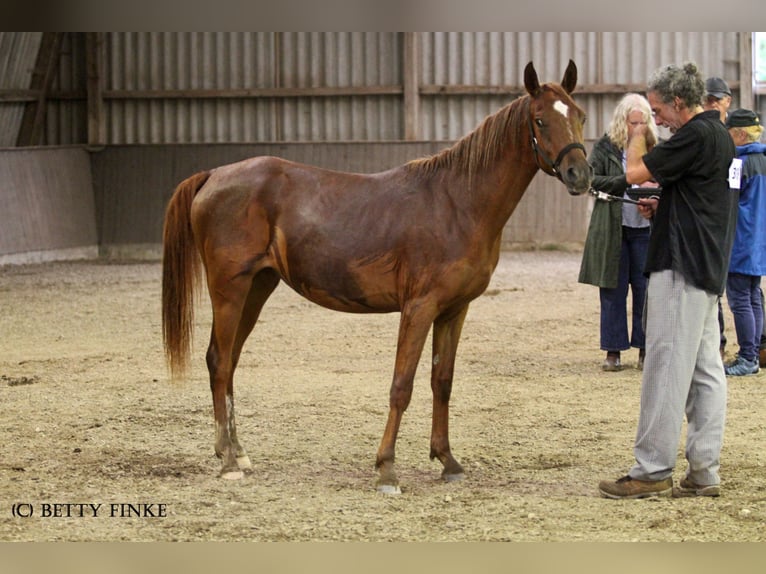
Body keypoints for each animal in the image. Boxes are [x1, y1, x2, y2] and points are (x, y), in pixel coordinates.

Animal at [162, 59, 592, 496]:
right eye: (539, 120)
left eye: (579, 116)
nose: (580, 174)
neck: (457, 203)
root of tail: (213, 175)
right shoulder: (419, 308)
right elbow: (402, 385)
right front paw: (387, 469)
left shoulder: (454, 311)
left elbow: (442, 381)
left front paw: (447, 460)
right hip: (229, 290)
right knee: (218, 361)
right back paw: (228, 461)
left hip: (257, 288)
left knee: (230, 361)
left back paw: (238, 452)